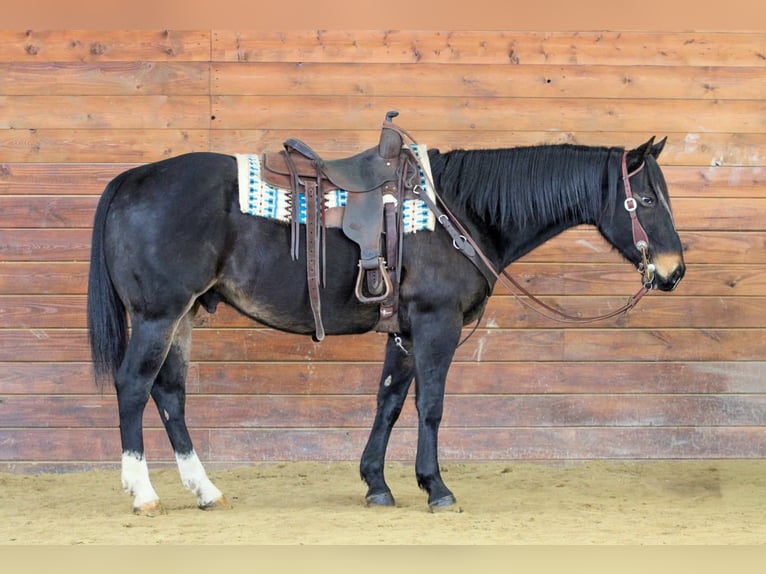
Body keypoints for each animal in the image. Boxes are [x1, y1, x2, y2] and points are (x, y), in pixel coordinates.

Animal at [87, 133, 685, 515]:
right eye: (646, 197)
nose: (674, 270)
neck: (459, 212)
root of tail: (133, 178)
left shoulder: (404, 330)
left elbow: (390, 401)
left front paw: (376, 484)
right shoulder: (436, 323)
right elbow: (430, 405)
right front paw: (436, 487)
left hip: (183, 315)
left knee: (170, 394)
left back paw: (205, 490)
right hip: (159, 315)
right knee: (135, 386)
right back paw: (143, 493)